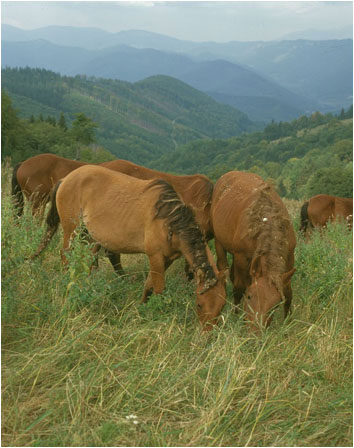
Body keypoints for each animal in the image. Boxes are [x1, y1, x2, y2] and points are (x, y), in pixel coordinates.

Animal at [31, 166, 225, 330]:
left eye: (221, 306)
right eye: (200, 304)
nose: (207, 334)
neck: (169, 221)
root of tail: (66, 179)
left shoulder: (166, 259)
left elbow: (148, 285)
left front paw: (142, 306)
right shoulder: (155, 256)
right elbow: (159, 288)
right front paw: (157, 313)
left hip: (89, 236)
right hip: (72, 230)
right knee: (65, 255)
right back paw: (67, 282)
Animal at [210, 172, 296, 332]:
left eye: (275, 305)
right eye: (250, 296)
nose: (256, 331)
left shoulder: (289, 257)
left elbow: (288, 292)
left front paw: (288, 322)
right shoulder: (241, 257)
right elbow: (239, 287)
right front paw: (237, 315)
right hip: (219, 242)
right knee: (224, 267)